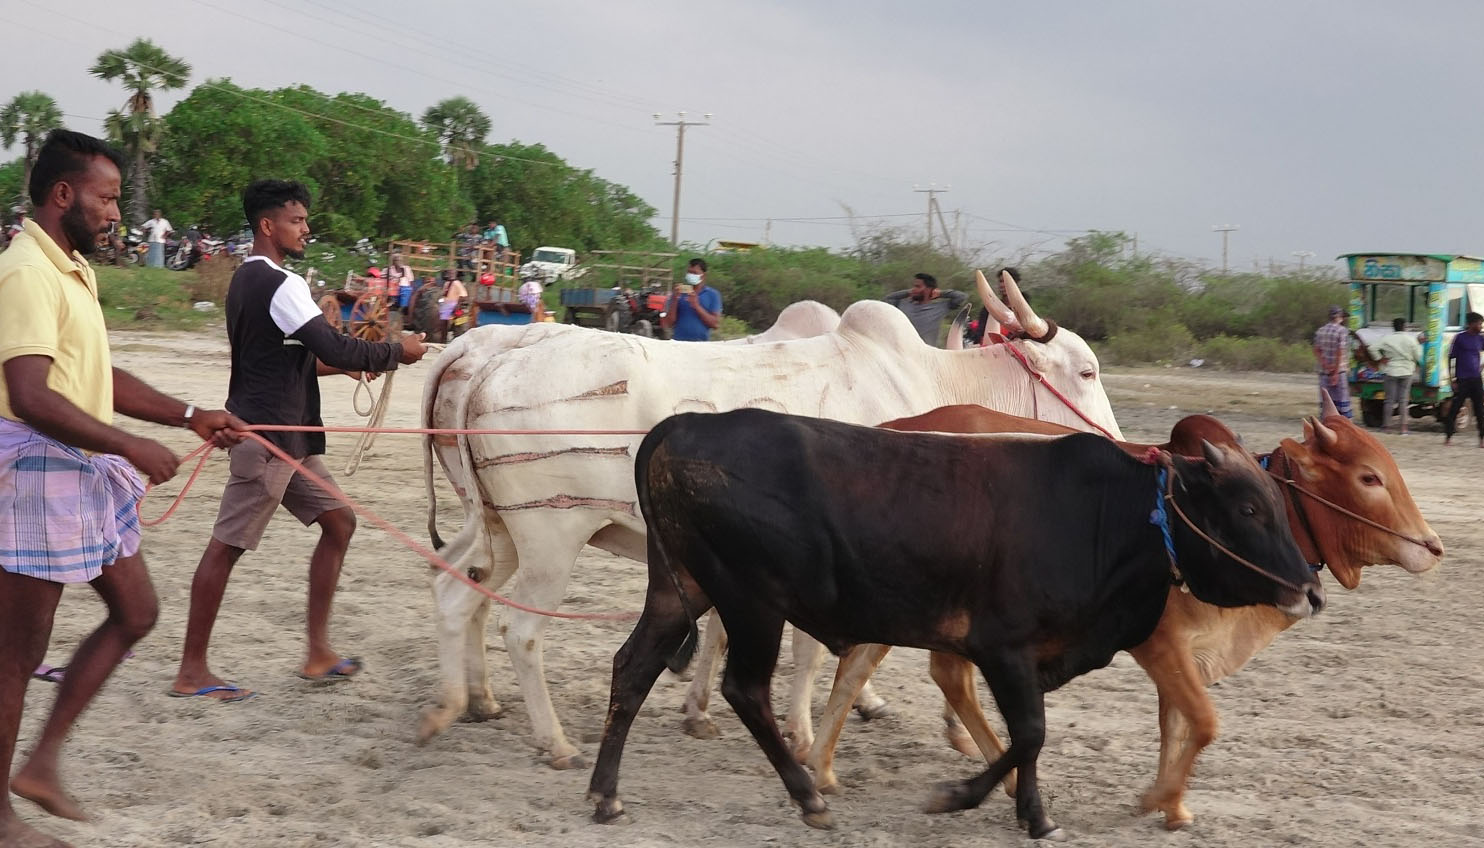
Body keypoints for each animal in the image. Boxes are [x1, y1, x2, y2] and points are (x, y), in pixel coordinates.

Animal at [412, 271, 1115, 772]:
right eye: (1086, 370)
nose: (1114, 444)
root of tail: (491, 357)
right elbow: (815, 651)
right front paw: (807, 733)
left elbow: (736, 637)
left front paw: (704, 712)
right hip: (552, 538)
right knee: (520, 629)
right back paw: (552, 741)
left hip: (497, 527)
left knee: (456, 590)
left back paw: (457, 704)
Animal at [587, 412, 1323, 843]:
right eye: (1248, 508)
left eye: (1277, 503)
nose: (1309, 590)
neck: (1105, 516)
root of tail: (689, 423)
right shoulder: (1003, 648)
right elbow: (1029, 734)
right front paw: (963, 797)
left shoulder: (1029, 658)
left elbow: (1028, 740)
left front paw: (1033, 814)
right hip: (751, 601)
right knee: (744, 691)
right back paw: (808, 796)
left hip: (679, 588)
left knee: (633, 667)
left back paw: (605, 794)